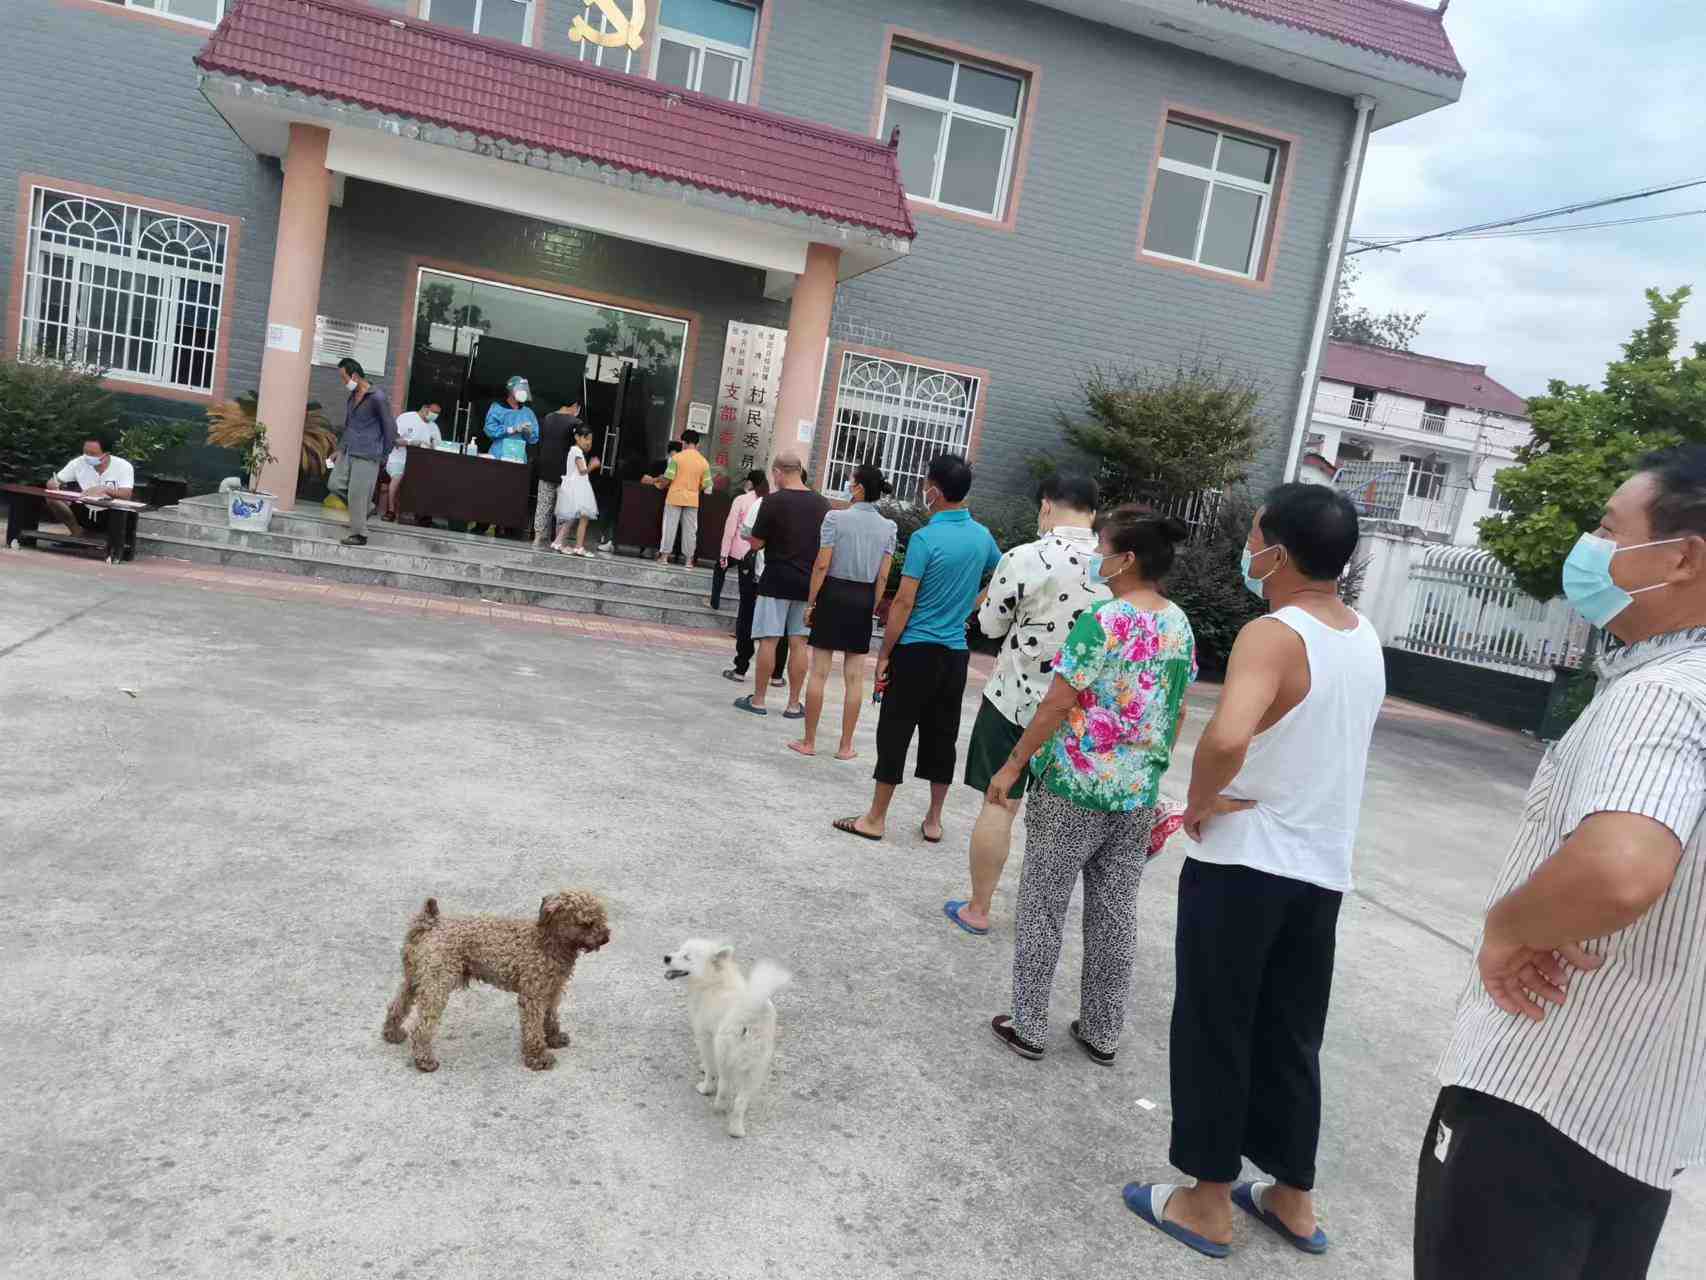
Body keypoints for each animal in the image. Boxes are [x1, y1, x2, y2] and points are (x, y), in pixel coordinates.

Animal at [381, 891, 611, 1072]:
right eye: (586, 923)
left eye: (601, 918)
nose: (605, 937)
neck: (547, 942)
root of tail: (430, 924)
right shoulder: (533, 995)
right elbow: (533, 1026)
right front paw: (538, 1057)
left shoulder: (552, 990)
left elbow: (550, 1018)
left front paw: (553, 1039)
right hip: (436, 984)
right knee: (422, 1027)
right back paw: (425, 1060)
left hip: (415, 979)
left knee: (397, 1006)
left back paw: (392, 1033)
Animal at [663, 939, 790, 1137]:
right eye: (679, 950)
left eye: (687, 957)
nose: (666, 957)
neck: (713, 980)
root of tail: (752, 1011)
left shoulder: (705, 1037)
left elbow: (709, 1066)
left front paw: (705, 1083)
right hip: (757, 1067)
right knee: (740, 1101)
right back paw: (736, 1130)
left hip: (725, 1054)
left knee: (724, 1087)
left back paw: (717, 1104)